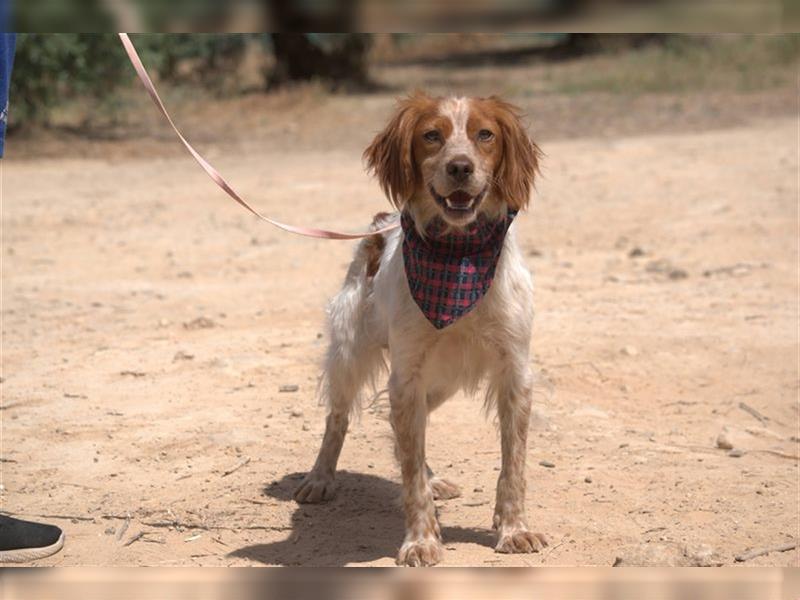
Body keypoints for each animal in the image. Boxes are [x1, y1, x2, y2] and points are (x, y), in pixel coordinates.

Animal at [296, 91, 548, 564]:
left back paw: (434, 479)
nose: (460, 167)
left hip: (440, 379)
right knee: (338, 418)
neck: (459, 256)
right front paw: (420, 540)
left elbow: (513, 464)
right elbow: (410, 473)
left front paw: (514, 529)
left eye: (485, 134)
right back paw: (320, 478)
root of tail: (379, 224)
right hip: (351, 352)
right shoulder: (406, 376)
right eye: (432, 136)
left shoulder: (514, 372)